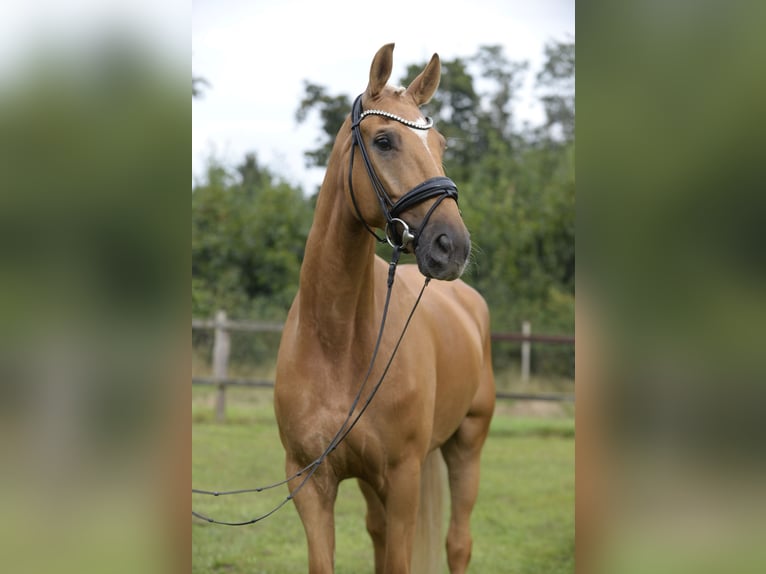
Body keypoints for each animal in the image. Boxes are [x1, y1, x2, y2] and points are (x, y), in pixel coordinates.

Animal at [276, 42, 498, 572]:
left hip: (467, 444)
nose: (452, 246)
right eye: (384, 141)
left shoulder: (402, 478)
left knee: (458, 543)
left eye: (440, 144)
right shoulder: (310, 482)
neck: (336, 341)